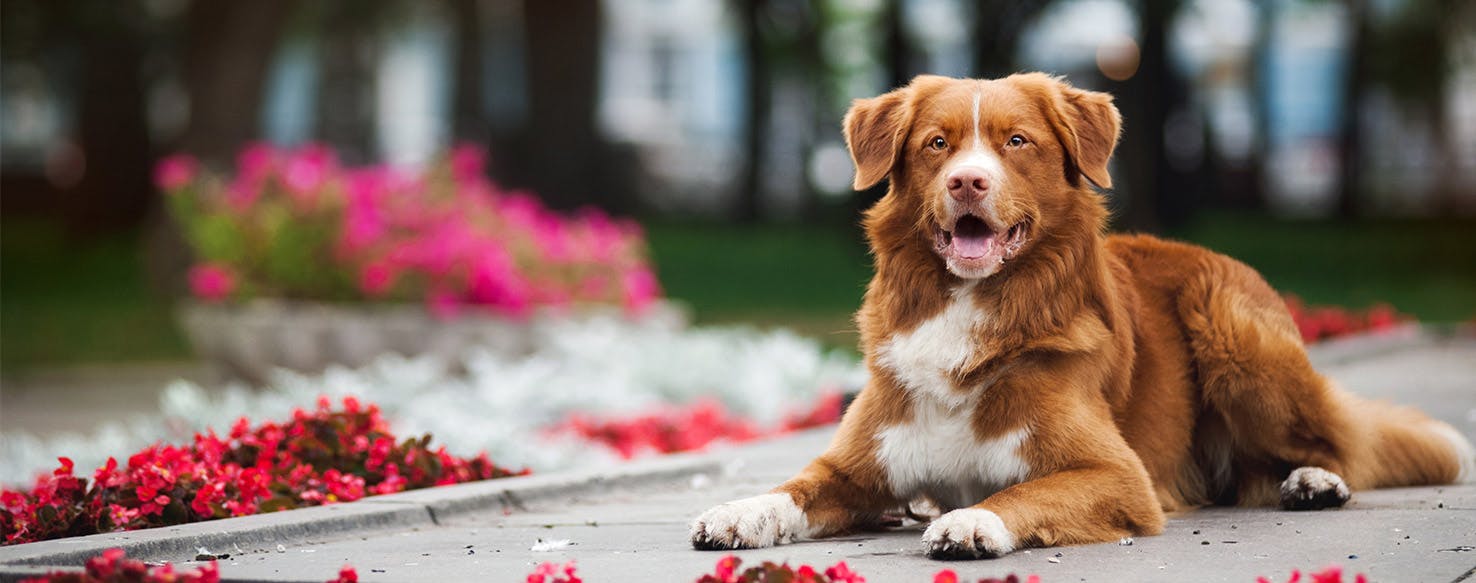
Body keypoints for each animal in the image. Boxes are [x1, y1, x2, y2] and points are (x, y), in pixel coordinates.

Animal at [690, 73, 1476, 560]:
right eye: (937, 143)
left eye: (1016, 141)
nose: (967, 181)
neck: (971, 303)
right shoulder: (853, 464)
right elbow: (793, 488)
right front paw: (738, 511)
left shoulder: (1118, 475)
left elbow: (1027, 489)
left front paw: (972, 519)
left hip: (1234, 332)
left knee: (1342, 441)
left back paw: (1315, 481)